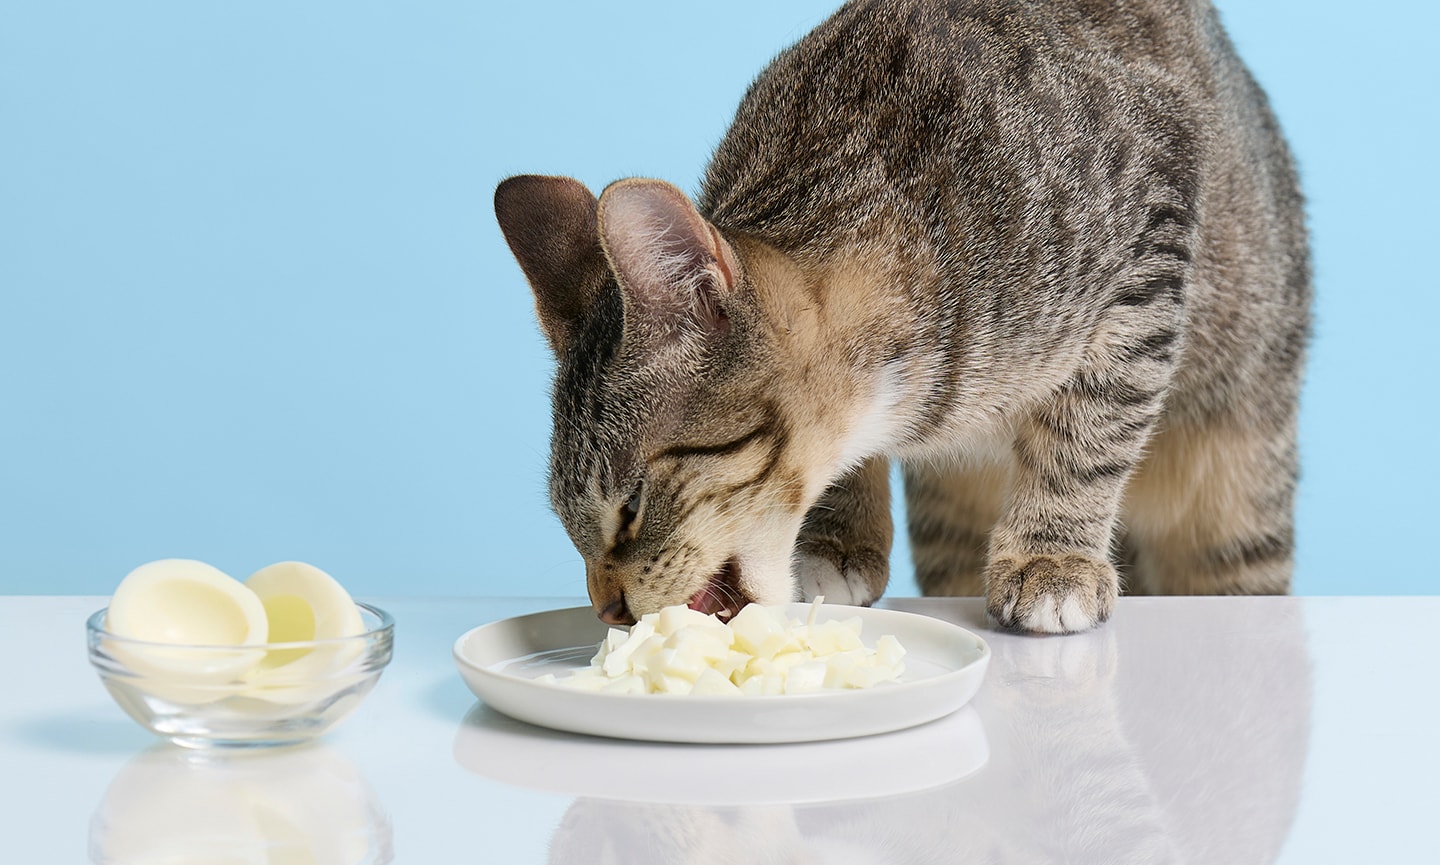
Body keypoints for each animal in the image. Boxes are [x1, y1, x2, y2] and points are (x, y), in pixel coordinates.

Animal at [492, 0, 1307, 633]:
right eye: (566, 520)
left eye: (631, 505)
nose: (606, 608)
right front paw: (836, 538)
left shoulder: (1155, 200)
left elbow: (1091, 428)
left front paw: (1054, 555)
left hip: (1236, 488)